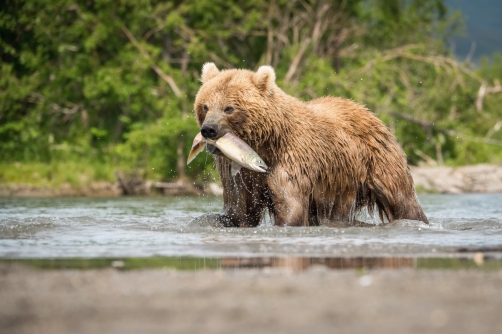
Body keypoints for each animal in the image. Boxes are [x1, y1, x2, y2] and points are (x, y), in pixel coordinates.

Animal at [192, 62, 428, 227]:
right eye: (205, 106)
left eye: (229, 108)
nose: (208, 129)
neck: (264, 143)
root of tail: (367, 111)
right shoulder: (240, 174)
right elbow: (240, 208)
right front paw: (212, 220)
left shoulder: (292, 158)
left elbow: (290, 204)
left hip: (377, 161)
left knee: (401, 199)